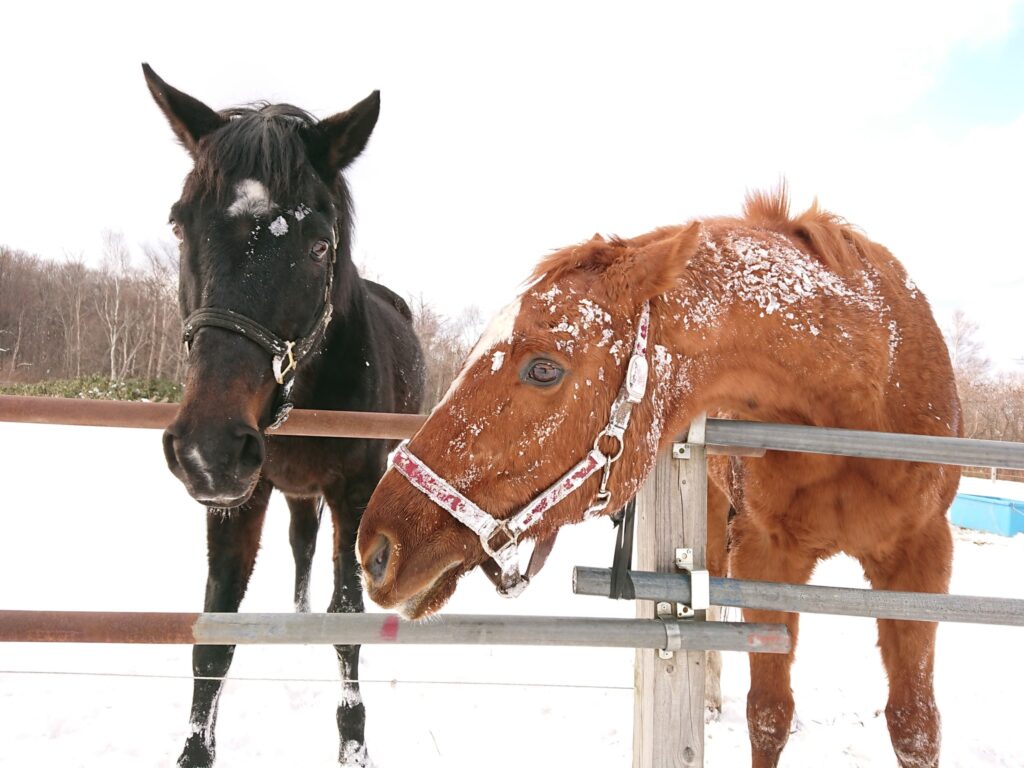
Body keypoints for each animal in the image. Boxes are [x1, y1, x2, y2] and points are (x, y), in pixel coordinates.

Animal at [144, 64, 423, 768]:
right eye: (180, 225)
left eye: (320, 243)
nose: (209, 450)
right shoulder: (236, 501)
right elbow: (214, 635)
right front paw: (195, 749)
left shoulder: (353, 490)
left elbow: (348, 618)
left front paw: (353, 742)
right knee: (299, 547)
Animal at [358, 188, 958, 768]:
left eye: (544, 368)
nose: (378, 549)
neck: (864, 393)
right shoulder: (768, 557)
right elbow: (768, 715)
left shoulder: (922, 561)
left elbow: (914, 727)